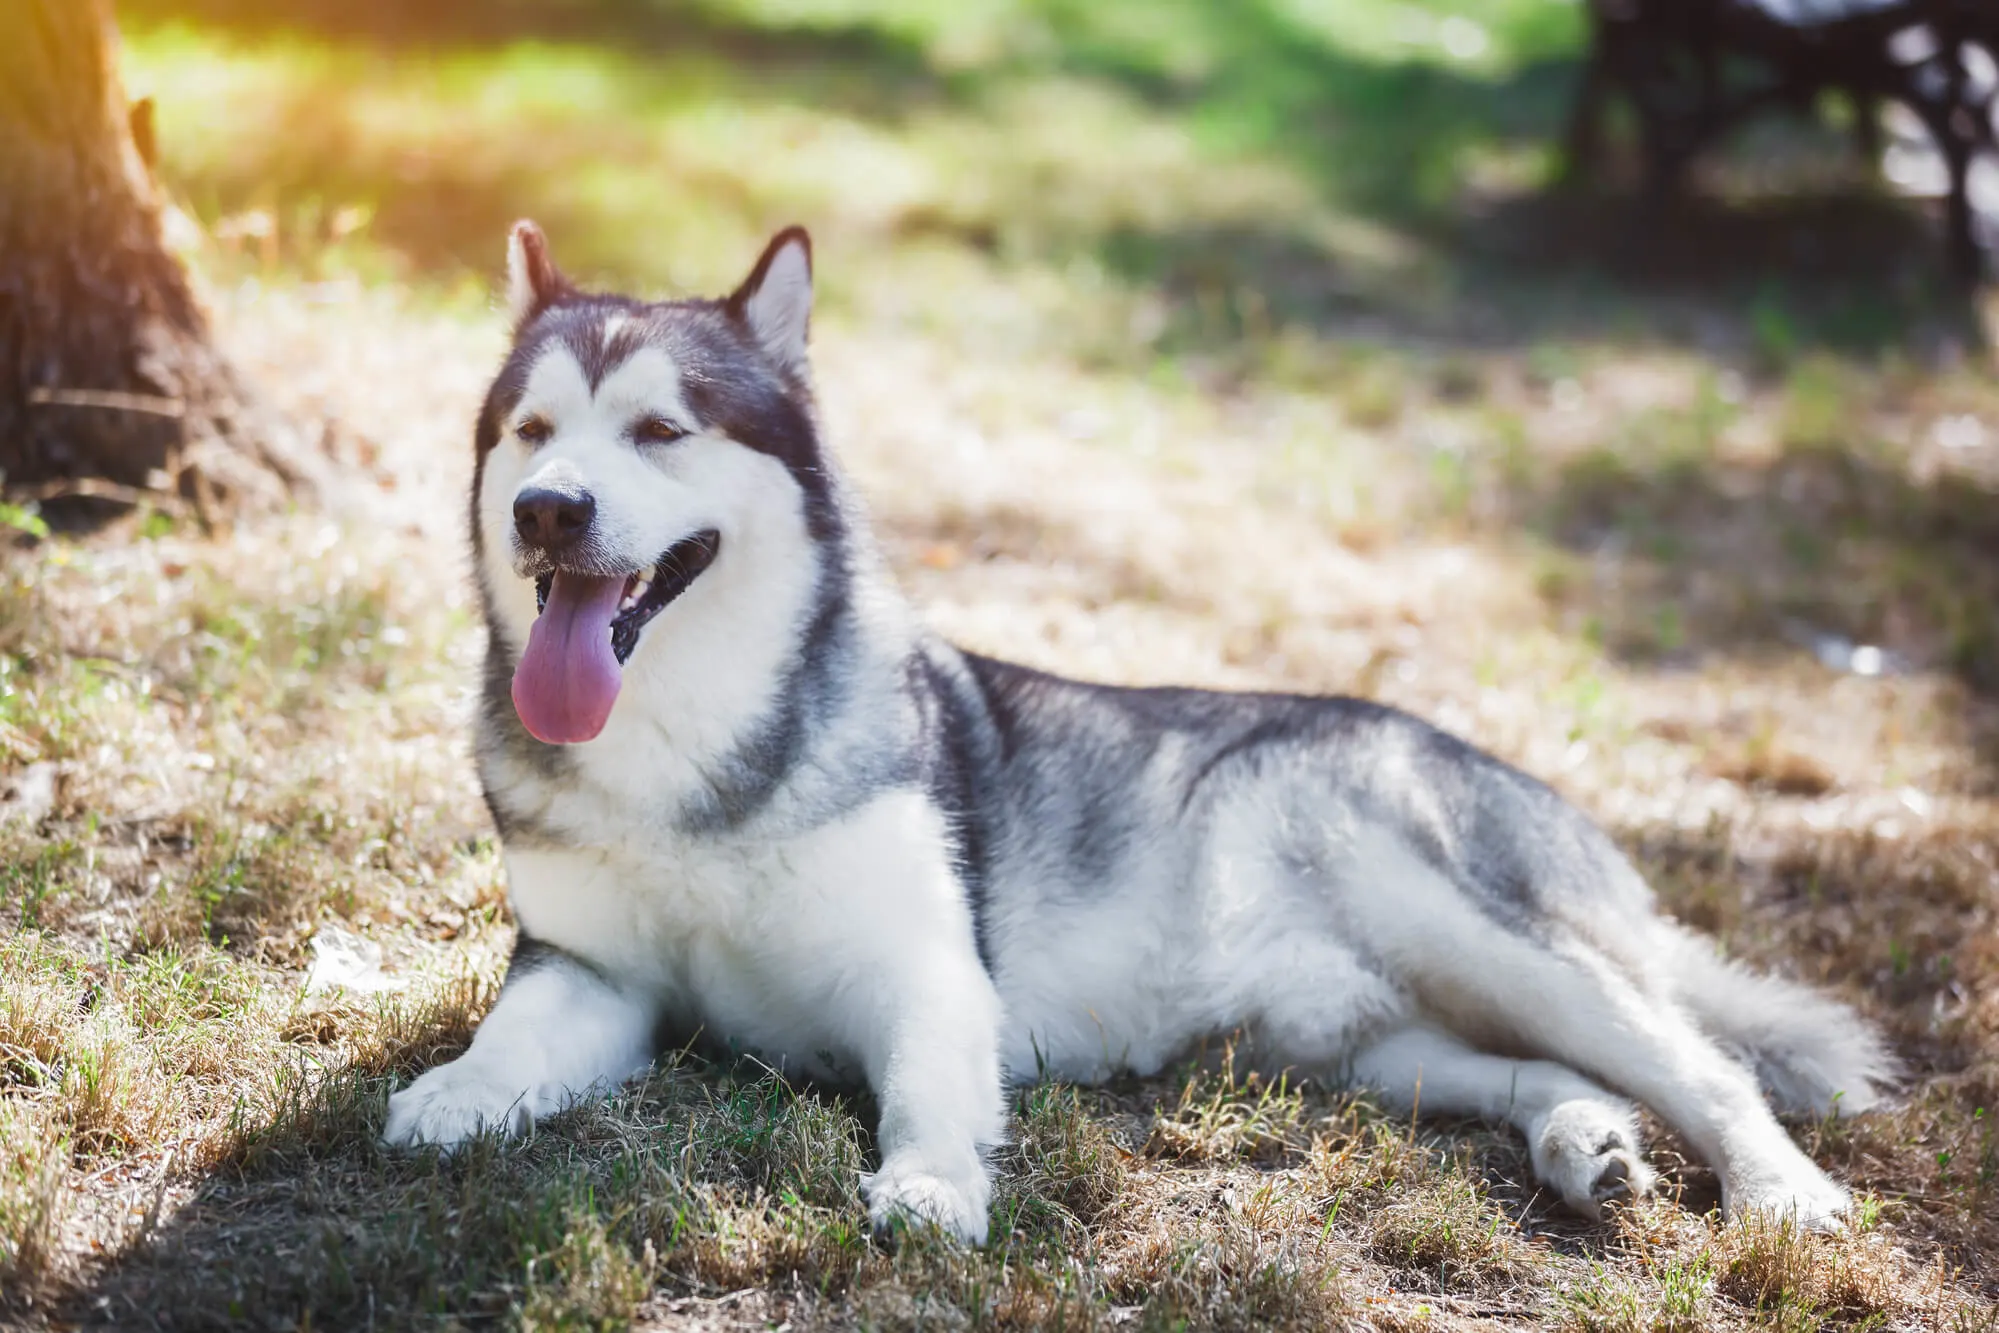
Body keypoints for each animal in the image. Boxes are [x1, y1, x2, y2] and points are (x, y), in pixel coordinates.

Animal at [381, 221, 1895, 1239]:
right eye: (532, 432)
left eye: (658, 430)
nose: (550, 513)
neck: (689, 753)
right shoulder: (592, 971)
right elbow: (514, 1039)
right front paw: (454, 1093)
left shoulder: (927, 971)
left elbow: (926, 1089)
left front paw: (926, 1185)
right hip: (1365, 1043)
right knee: (1546, 1067)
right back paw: (1584, 1138)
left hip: (1467, 921)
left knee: (1702, 1062)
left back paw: (1779, 1188)